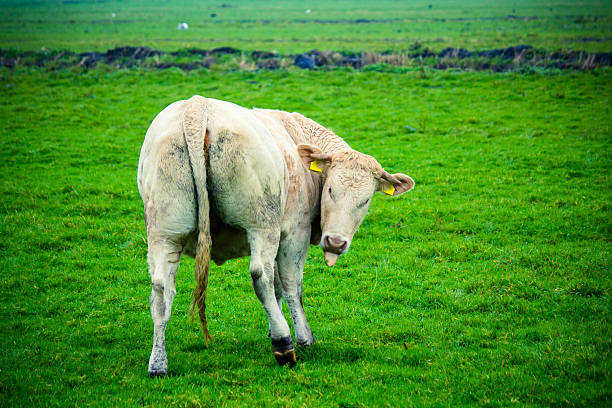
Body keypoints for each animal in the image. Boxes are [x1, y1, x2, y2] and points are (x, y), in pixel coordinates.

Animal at [137, 95, 416, 376]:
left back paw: (158, 363)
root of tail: (197, 108)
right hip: (262, 225)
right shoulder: (295, 233)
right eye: (330, 190)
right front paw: (302, 337)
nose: (335, 243)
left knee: (161, 290)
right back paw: (284, 344)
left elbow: (279, 289)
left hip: (165, 233)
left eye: (366, 200)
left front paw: (274, 325)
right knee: (261, 276)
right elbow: (292, 286)